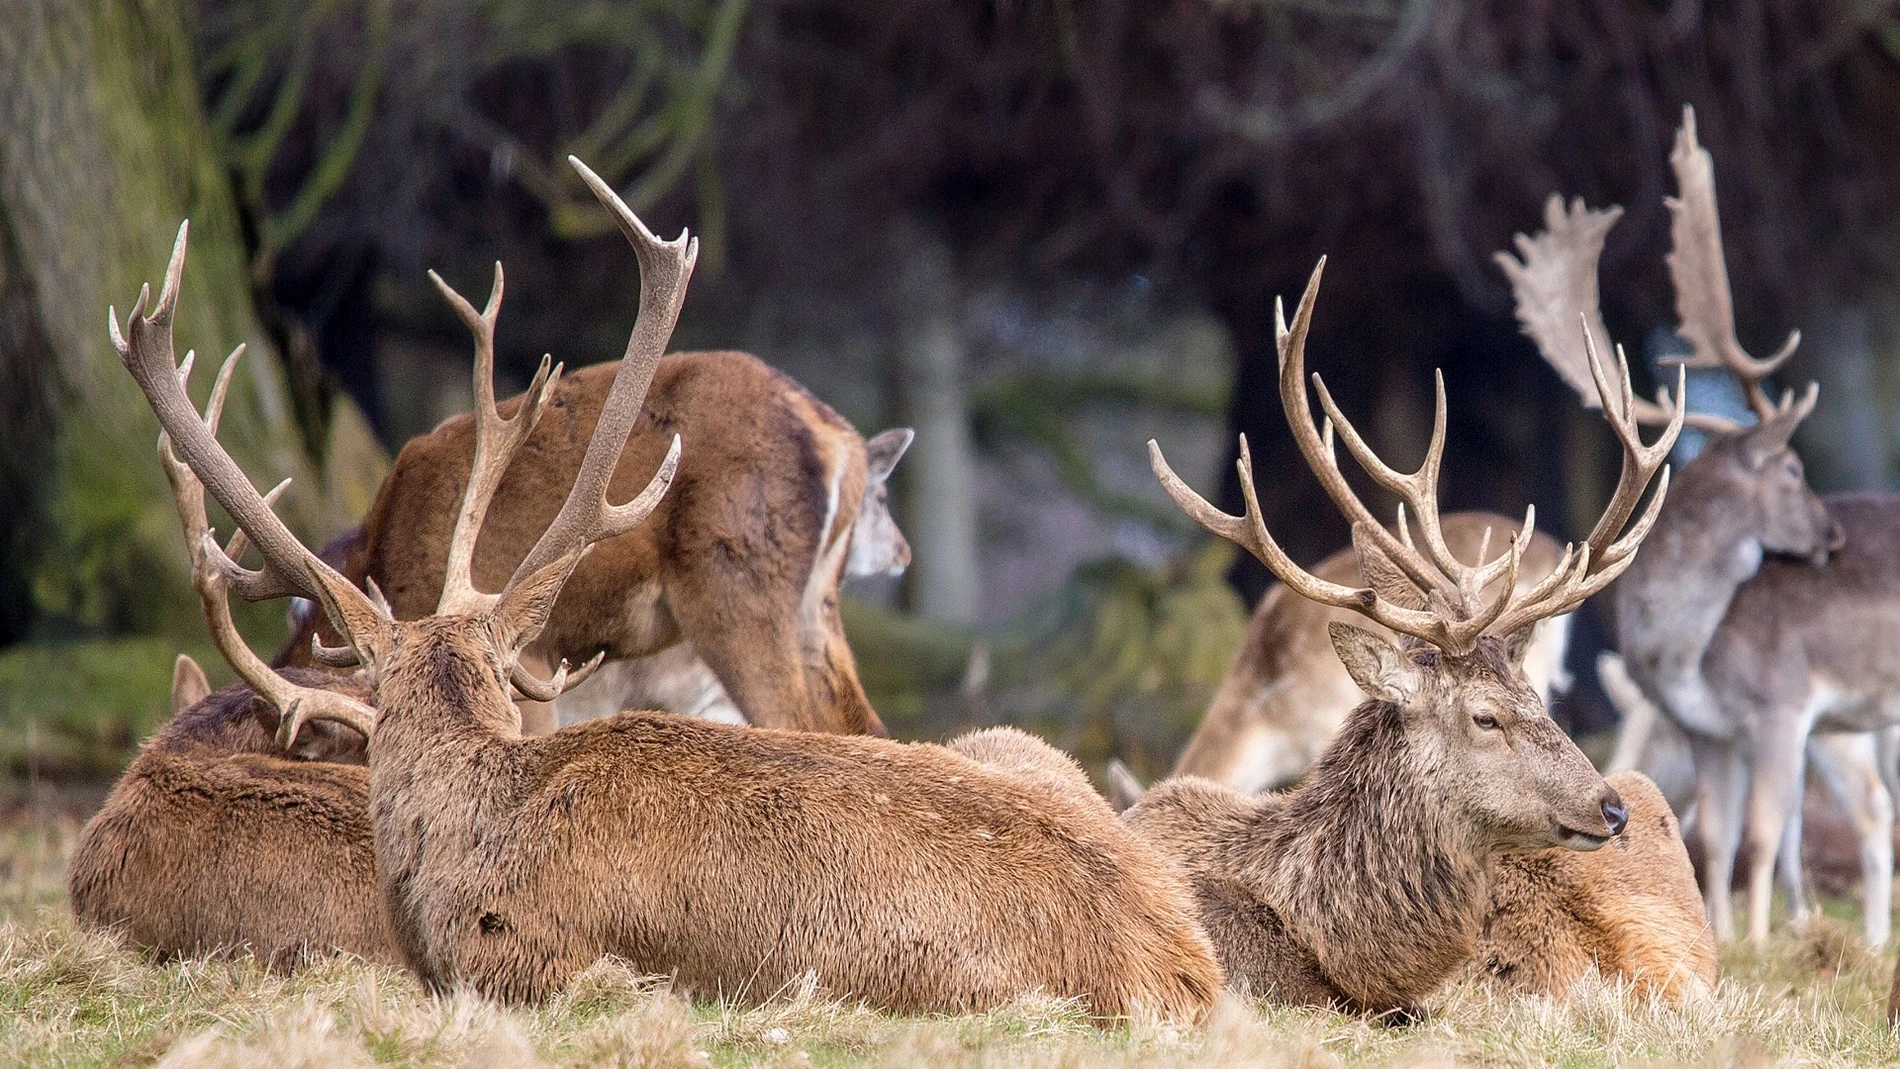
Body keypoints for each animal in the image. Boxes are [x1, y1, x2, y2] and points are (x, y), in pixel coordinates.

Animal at [1497, 106, 1900, 945]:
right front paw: (1724, 930)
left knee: (1875, 810)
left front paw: (1760, 939)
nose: (1832, 539)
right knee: (1880, 808)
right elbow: (1716, 834)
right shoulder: (1713, 731)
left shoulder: (1783, 703)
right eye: (1792, 471)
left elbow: (1763, 831)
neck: (1680, 651)